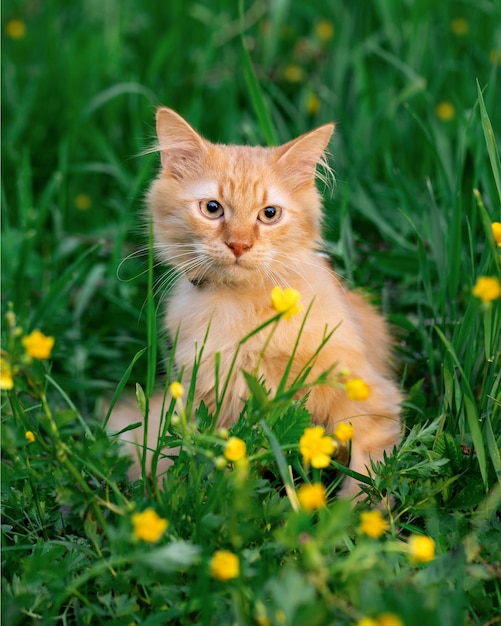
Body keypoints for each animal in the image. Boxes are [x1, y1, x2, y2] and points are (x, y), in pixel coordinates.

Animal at [139, 107, 400, 494]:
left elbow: (368, 476)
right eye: (212, 208)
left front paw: (353, 511)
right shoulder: (206, 399)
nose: (239, 245)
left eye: (269, 214)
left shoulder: (367, 393)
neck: (243, 308)